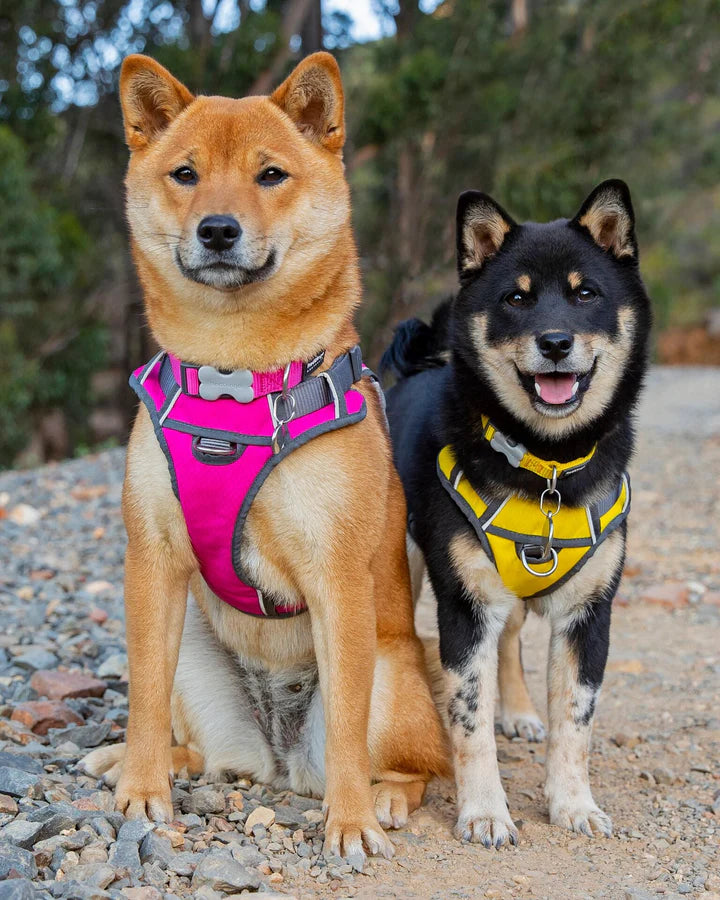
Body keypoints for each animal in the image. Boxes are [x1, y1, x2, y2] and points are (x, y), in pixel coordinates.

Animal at [382, 181, 652, 844]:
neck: (545, 463)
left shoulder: (588, 613)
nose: (555, 342)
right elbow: (469, 720)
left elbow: (574, 723)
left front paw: (573, 803)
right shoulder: (465, 605)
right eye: (516, 298)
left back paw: (522, 712)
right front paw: (484, 811)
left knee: (510, 641)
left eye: (585, 293)